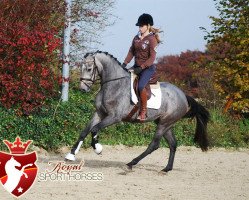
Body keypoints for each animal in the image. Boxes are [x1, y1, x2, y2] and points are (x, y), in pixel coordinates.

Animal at [64, 50, 210, 172]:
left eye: (89, 68)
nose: (83, 89)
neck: (113, 85)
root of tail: (183, 95)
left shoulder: (114, 117)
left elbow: (94, 129)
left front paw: (98, 149)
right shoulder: (99, 113)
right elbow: (84, 131)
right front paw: (71, 155)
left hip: (164, 123)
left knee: (154, 145)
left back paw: (131, 163)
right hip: (165, 123)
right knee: (173, 144)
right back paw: (167, 169)